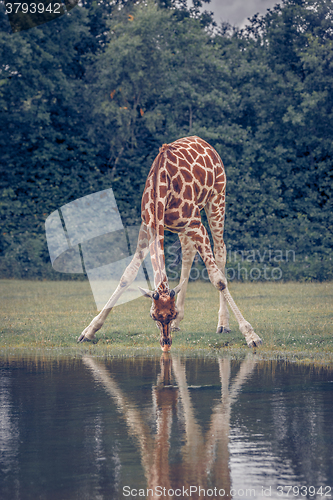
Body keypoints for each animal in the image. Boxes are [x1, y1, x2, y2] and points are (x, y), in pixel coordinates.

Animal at [78, 135, 262, 350]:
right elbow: (127, 276)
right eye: (153, 316)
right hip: (184, 226)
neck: (161, 189)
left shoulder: (196, 224)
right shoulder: (147, 226)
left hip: (217, 198)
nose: (165, 343)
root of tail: (205, 143)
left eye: (170, 313)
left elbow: (218, 279)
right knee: (188, 251)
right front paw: (89, 331)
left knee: (220, 250)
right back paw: (182, 324)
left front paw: (251, 334)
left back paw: (223, 324)